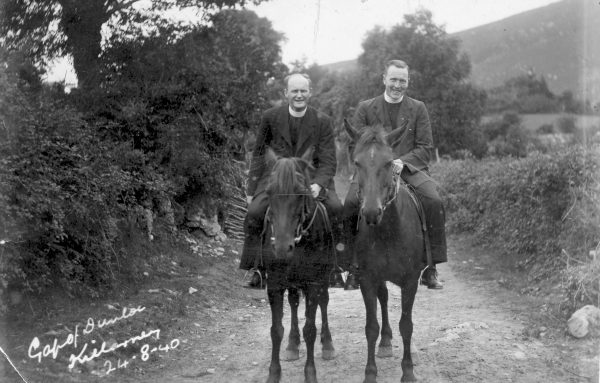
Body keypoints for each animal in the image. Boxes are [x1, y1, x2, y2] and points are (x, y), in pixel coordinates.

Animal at [262, 148, 338, 383]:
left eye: (301, 193)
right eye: (269, 191)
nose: (282, 248)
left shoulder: (313, 283)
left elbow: (310, 329)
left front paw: (310, 373)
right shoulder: (275, 285)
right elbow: (276, 330)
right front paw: (274, 373)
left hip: (323, 278)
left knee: (324, 302)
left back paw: (328, 344)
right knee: (294, 303)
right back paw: (292, 344)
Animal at [344, 121, 428, 382]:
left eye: (389, 162)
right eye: (357, 162)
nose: (371, 212)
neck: (389, 231)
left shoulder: (410, 281)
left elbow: (407, 325)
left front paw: (408, 370)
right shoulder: (368, 279)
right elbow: (371, 327)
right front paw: (370, 372)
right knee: (383, 299)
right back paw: (385, 342)